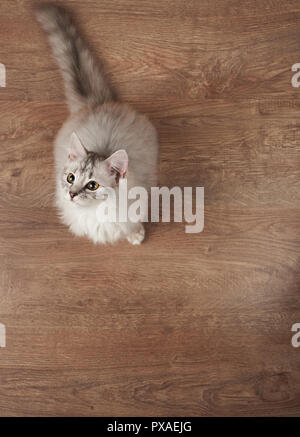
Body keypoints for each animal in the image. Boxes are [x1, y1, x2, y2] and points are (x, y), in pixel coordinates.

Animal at [34, 3, 158, 244]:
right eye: (70, 178)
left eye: (92, 185)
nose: (71, 194)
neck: (96, 211)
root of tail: (96, 102)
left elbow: (130, 224)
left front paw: (136, 235)